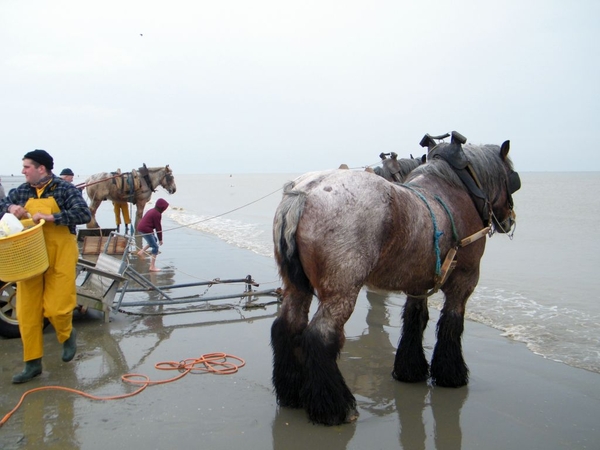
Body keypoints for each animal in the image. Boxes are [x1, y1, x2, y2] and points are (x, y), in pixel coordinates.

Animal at [272, 132, 520, 424]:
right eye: (513, 179)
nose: (509, 219)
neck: (459, 190)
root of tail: (305, 191)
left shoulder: (418, 284)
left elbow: (415, 320)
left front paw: (410, 370)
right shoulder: (464, 281)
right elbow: (451, 324)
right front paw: (452, 374)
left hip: (296, 287)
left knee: (286, 327)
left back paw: (291, 393)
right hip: (341, 291)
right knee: (320, 337)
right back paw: (335, 408)